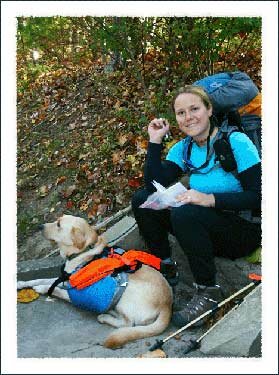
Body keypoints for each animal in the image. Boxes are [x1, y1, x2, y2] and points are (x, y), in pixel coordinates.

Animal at [17, 216, 173, 352]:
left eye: (59, 225)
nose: (40, 226)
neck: (83, 253)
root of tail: (167, 305)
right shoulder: (65, 279)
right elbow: (42, 279)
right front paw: (21, 283)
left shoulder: (73, 291)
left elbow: (55, 290)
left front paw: (41, 289)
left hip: (125, 292)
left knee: (128, 323)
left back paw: (104, 317)